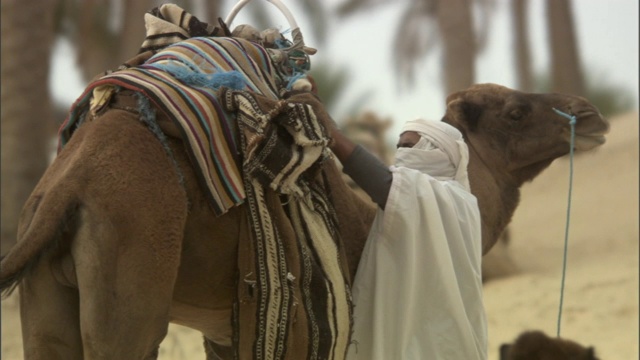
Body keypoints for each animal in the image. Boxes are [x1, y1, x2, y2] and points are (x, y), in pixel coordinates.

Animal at [0, 83, 608, 358]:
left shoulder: (229, 334)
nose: (590, 114)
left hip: (50, 290)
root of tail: (66, 185)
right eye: (516, 111)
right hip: (134, 271)